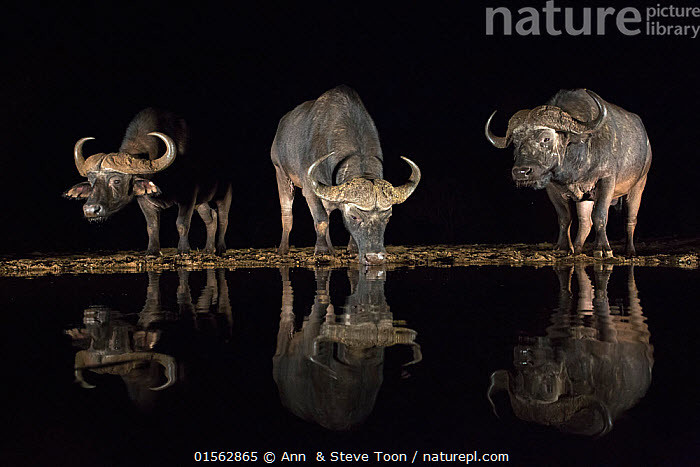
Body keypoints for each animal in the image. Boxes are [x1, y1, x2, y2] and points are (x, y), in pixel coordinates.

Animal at [63, 108, 232, 256]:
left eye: (116, 180)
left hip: (225, 195)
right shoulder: (145, 200)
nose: (91, 210)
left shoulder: (188, 197)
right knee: (211, 217)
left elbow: (182, 224)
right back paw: (208, 249)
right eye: (91, 182)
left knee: (223, 218)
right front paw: (152, 252)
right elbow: (151, 226)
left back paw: (220, 248)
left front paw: (183, 250)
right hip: (201, 201)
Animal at [270, 86, 418, 266]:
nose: (375, 257)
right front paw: (321, 251)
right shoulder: (310, 190)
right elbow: (321, 220)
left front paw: (351, 249)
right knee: (287, 213)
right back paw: (283, 249)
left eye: (388, 218)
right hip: (281, 172)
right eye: (354, 216)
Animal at [486, 90, 652, 260]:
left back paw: (630, 251)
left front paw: (603, 249)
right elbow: (565, 217)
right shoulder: (552, 188)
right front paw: (563, 247)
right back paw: (577, 249)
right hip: (586, 198)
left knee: (630, 219)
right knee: (585, 222)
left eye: (546, 138)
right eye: (516, 142)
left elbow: (600, 216)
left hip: (638, 185)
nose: (521, 172)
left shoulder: (606, 180)